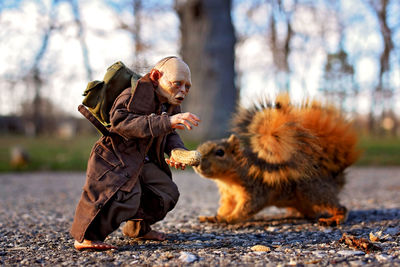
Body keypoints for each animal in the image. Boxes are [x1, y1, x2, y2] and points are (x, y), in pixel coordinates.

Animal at [194, 93, 360, 227]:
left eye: (220, 152)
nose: (197, 164)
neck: (227, 180)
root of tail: (333, 173)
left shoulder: (256, 188)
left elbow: (247, 207)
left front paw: (228, 219)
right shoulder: (228, 196)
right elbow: (226, 207)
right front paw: (214, 216)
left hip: (314, 190)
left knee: (339, 207)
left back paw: (335, 218)